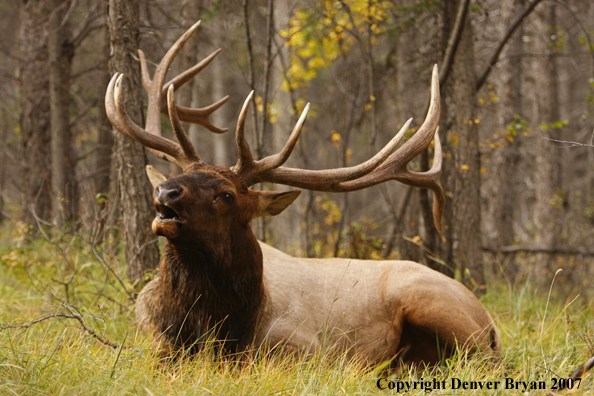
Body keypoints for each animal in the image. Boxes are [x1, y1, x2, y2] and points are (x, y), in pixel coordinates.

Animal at [104, 21, 498, 366]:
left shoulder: (304, 347)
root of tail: (490, 321)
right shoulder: (151, 334)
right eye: (182, 174)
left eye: (227, 195)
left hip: (435, 306)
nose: (166, 192)